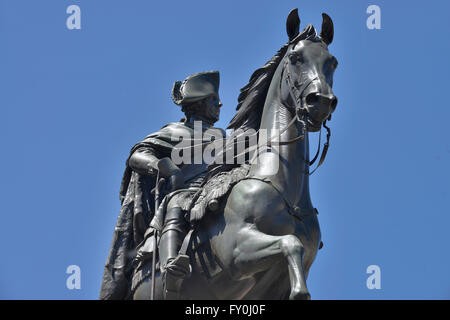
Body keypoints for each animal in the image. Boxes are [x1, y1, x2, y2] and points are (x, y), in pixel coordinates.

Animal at [133, 10, 338, 300]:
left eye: (332, 62)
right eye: (296, 57)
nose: (320, 102)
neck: (286, 192)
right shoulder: (238, 249)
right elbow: (290, 243)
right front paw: (170, 171)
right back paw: (174, 267)